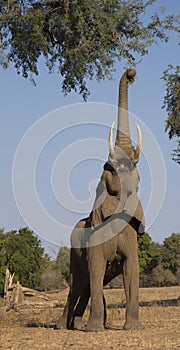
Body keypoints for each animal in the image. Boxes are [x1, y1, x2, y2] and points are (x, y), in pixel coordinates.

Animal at [56, 68, 145, 330]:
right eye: (112, 168)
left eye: (134, 169)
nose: (131, 72)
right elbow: (95, 269)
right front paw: (95, 330)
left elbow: (132, 270)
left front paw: (132, 328)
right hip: (73, 251)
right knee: (78, 285)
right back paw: (63, 327)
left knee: (85, 287)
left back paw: (77, 325)